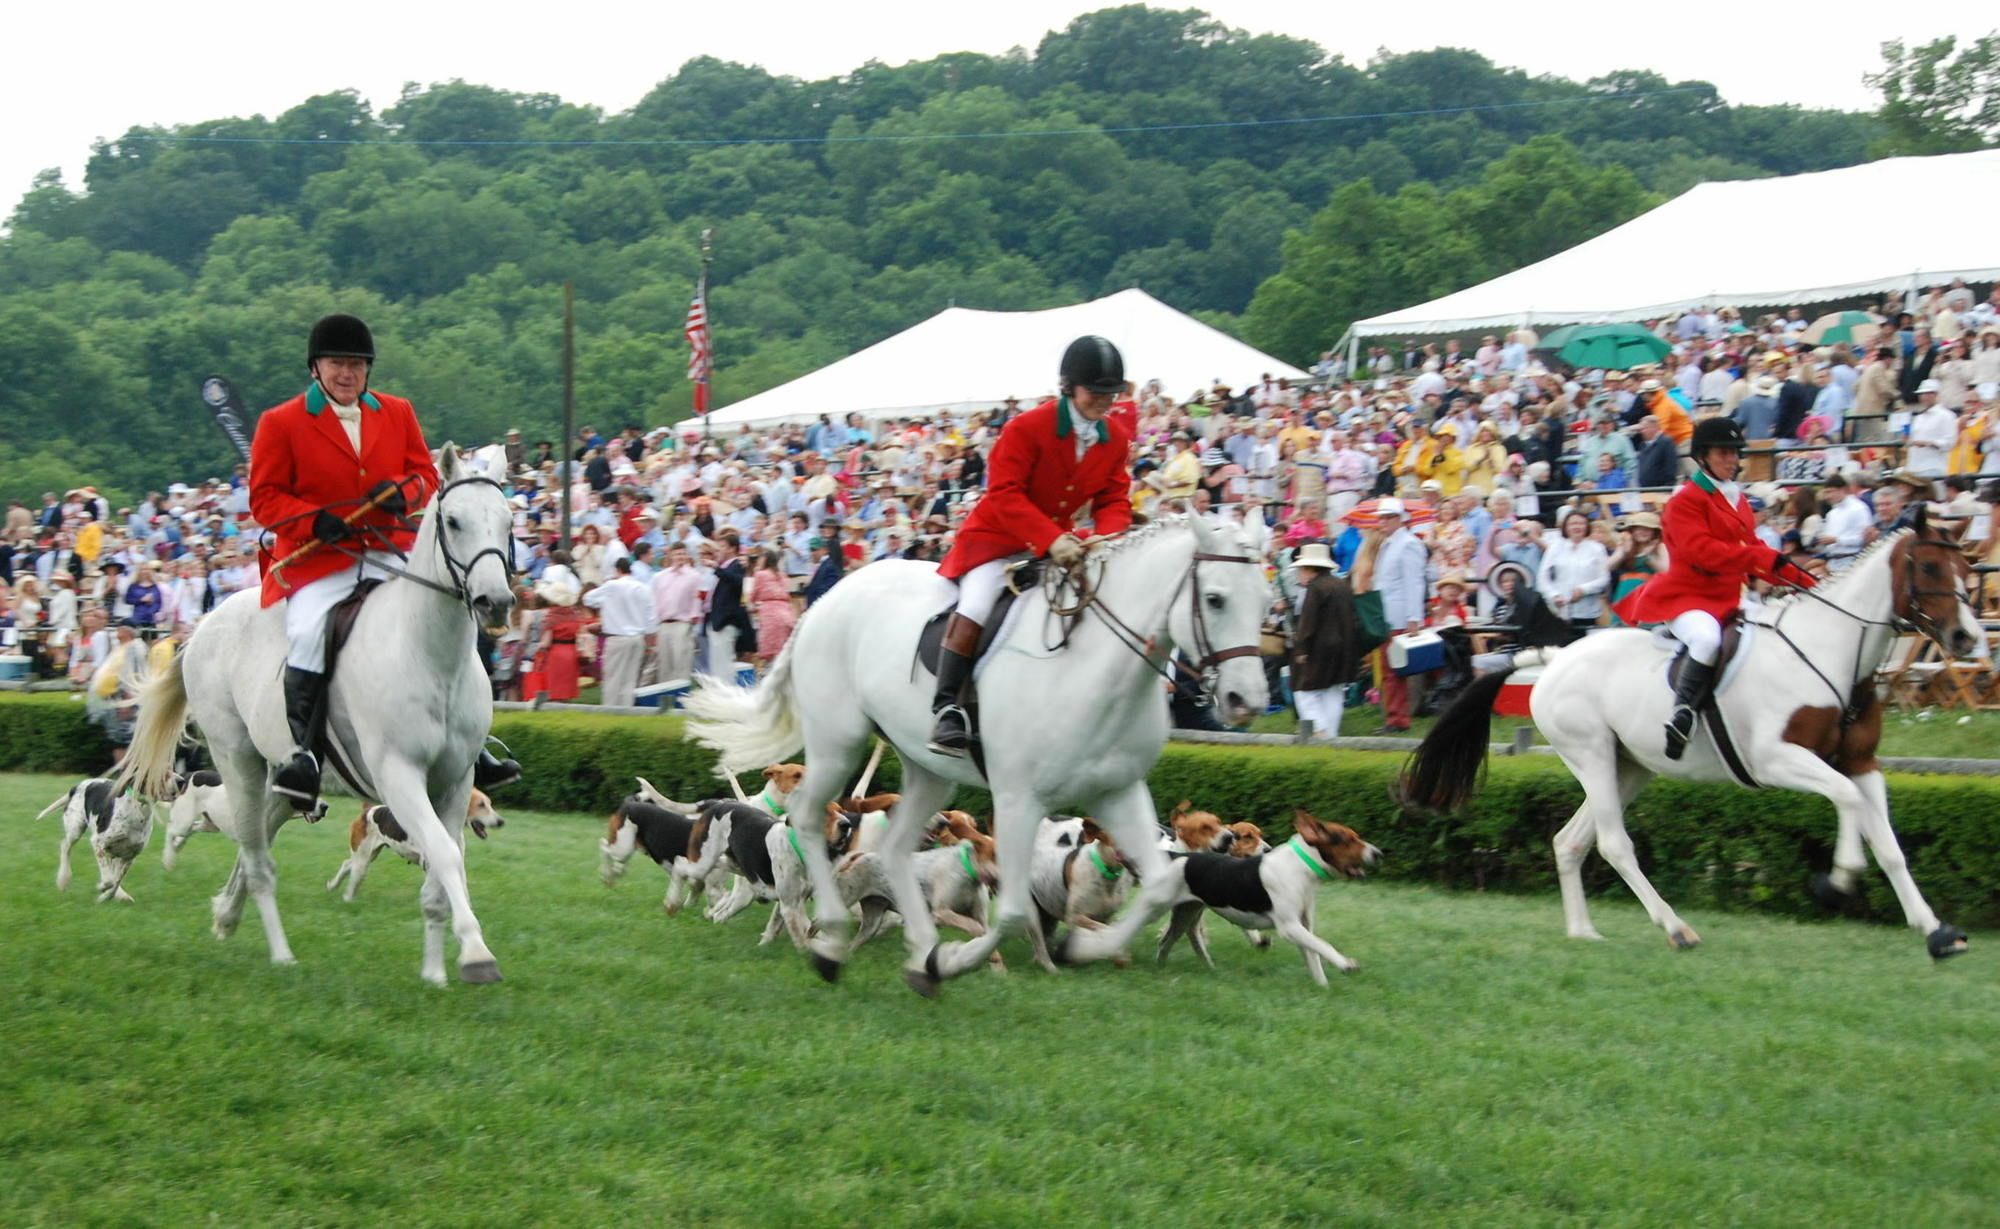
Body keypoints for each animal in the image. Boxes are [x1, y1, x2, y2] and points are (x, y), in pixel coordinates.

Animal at [121, 448, 520, 988]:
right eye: (454, 522)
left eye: (508, 521)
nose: (494, 603)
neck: (431, 655)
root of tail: (206, 623)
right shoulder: (399, 776)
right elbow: (444, 852)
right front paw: (477, 954)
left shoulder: (455, 782)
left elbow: (444, 868)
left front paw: (436, 972)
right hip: (238, 761)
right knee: (258, 859)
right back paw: (280, 954)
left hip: (285, 782)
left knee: (256, 844)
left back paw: (226, 914)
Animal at [688, 516, 1272, 996]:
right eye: (1215, 599)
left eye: (1266, 597)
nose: (1246, 700)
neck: (1094, 671)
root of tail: (825, 599)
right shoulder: (1017, 800)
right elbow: (1012, 913)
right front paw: (956, 961)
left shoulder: (1118, 791)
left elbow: (1160, 888)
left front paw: (1080, 947)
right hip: (838, 742)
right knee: (809, 818)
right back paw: (833, 943)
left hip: (928, 771)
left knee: (896, 847)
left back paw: (921, 949)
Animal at [1408, 520, 1984, 964]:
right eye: (1929, 569)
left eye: (1967, 569)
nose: (1966, 639)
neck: (1829, 654)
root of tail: (1553, 658)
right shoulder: (1778, 760)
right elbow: (1845, 800)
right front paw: (1837, 882)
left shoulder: (1862, 762)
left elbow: (1889, 845)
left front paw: (1935, 930)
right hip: (1591, 755)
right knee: (1614, 844)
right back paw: (1676, 928)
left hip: (1626, 767)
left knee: (1571, 841)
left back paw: (1584, 932)